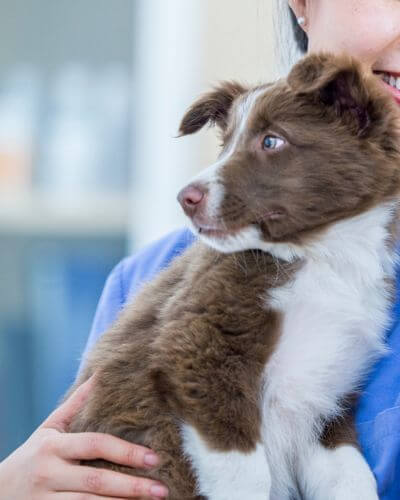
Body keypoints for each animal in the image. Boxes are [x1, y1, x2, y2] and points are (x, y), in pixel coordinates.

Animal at [67, 51, 400, 500]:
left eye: (272, 141)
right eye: (225, 145)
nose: (185, 198)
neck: (324, 256)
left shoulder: (330, 393)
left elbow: (351, 477)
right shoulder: (197, 352)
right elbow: (247, 473)